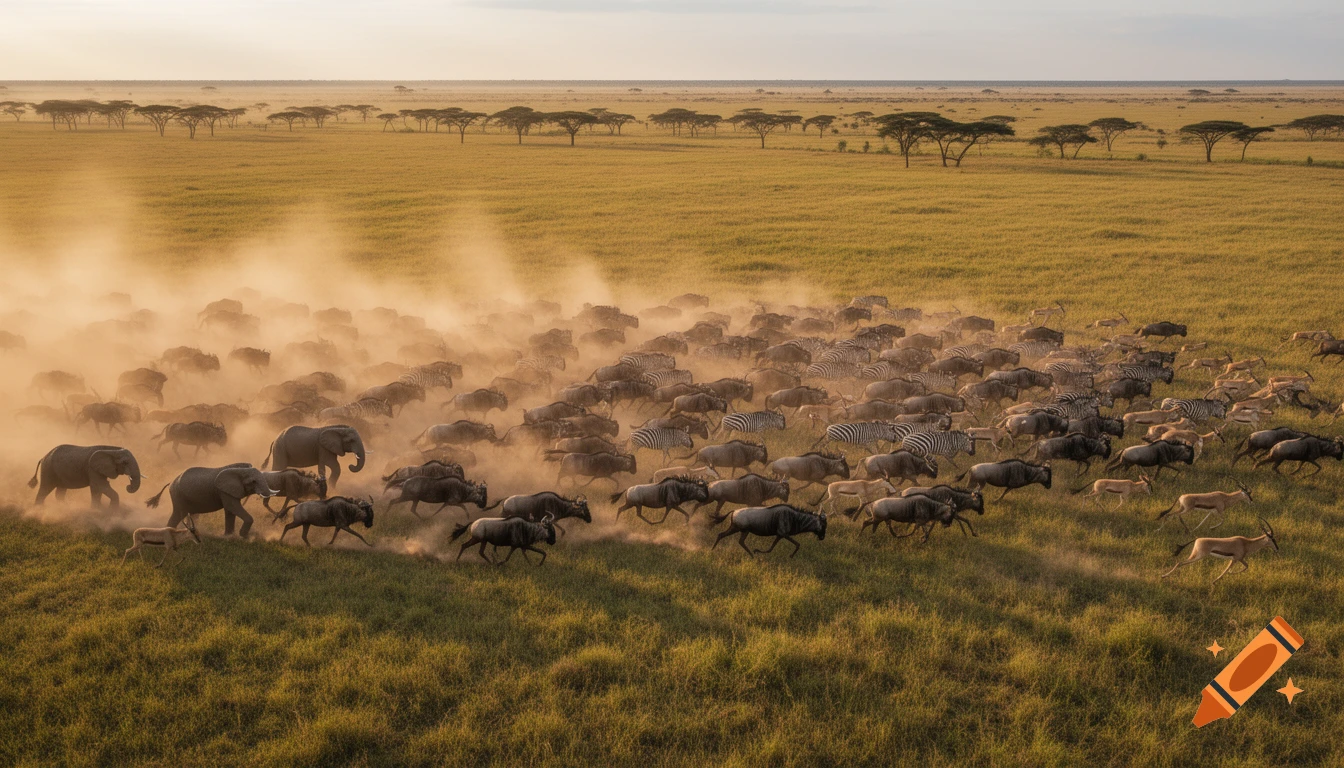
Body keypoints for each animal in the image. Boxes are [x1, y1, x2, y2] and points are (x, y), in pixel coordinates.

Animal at [145, 463, 276, 538]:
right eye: (253, 481)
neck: (240, 470)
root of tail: (171, 481)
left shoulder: (228, 491)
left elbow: (230, 510)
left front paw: (229, 536)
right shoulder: (223, 491)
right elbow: (232, 507)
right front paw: (242, 536)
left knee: (191, 514)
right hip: (178, 495)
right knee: (178, 513)